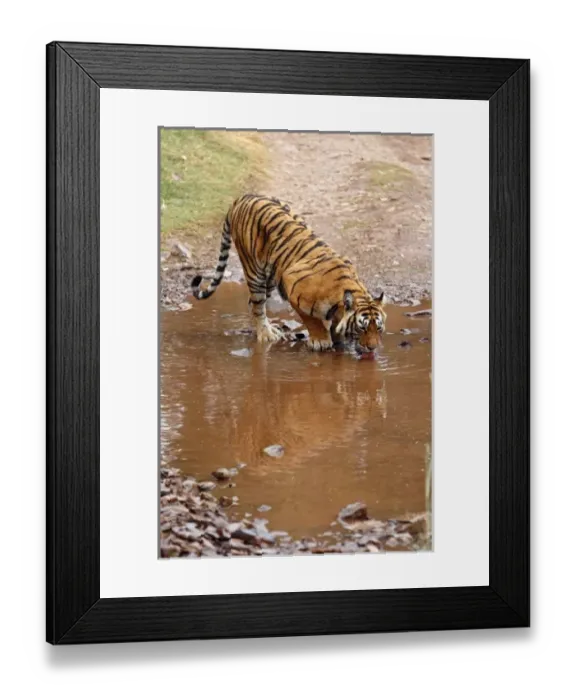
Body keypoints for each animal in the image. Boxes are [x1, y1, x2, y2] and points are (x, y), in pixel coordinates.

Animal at [191, 194, 387, 354]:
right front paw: (321, 340)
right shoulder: (293, 286)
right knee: (258, 305)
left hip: (271, 276)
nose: (372, 348)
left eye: (378, 328)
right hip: (255, 271)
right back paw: (266, 334)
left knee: (252, 304)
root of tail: (241, 197)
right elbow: (312, 320)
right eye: (362, 328)